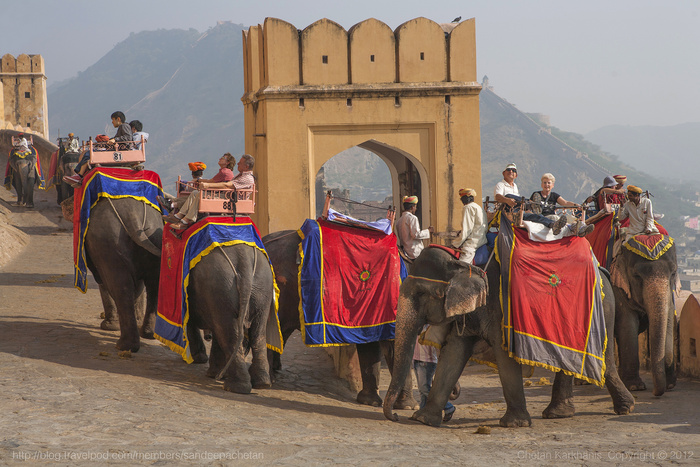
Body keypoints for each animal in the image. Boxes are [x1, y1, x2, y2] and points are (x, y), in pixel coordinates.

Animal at [82, 197, 163, 352]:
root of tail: (133, 217)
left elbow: (104, 282)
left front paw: (108, 327)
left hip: (108, 244)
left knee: (120, 287)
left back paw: (124, 346)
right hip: (155, 237)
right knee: (154, 285)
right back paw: (147, 334)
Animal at [185, 245, 274, 394]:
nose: (207, 336)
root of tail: (245, 264)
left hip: (221, 287)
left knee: (228, 334)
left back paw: (234, 386)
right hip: (262, 289)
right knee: (258, 333)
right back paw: (262, 383)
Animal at [382, 249, 636, 428]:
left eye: (421, 293)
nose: (395, 417)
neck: (465, 263)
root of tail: (602, 269)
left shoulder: (501, 309)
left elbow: (504, 355)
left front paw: (514, 424)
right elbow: (453, 353)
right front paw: (423, 420)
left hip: (602, 308)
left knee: (603, 359)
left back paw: (624, 408)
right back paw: (561, 413)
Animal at [612, 243, 680, 396]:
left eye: (673, 273)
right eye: (636, 276)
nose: (655, 391)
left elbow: (668, 320)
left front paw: (670, 384)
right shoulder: (617, 288)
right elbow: (627, 324)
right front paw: (635, 387)